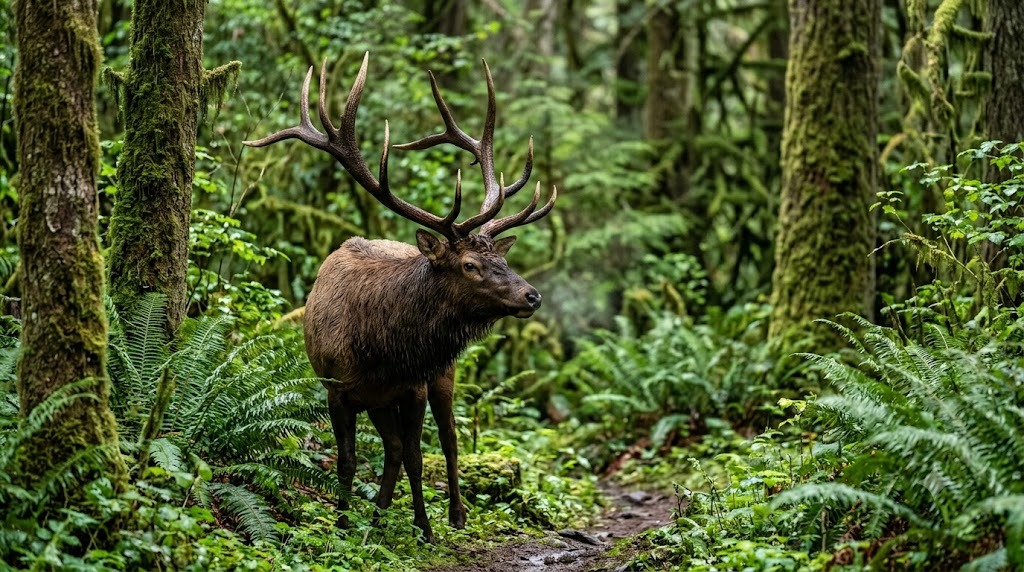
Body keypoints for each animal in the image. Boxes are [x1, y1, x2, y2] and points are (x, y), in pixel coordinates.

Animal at [243, 53, 556, 543]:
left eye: (500, 259)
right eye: (470, 265)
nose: (532, 296)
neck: (377, 349)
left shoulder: (413, 386)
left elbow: (416, 457)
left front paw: (424, 527)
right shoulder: (336, 388)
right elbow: (351, 460)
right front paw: (343, 521)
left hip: (441, 374)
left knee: (447, 439)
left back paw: (452, 514)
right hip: (379, 401)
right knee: (390, 447)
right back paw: (376, 515)